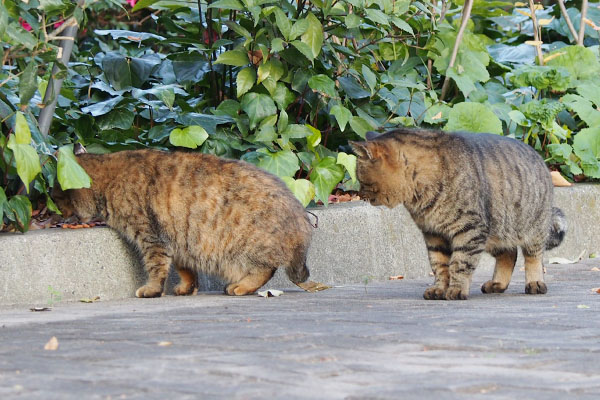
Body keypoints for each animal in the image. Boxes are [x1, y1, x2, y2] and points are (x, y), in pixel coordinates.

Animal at [51, 150, 312, 296]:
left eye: (56, 198)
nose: (52, 214)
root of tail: (301, 214)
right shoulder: (178, 240)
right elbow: (184, 269)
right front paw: (187, 287)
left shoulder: (152, 237)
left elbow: (156, 267)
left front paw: (153, 290)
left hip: (246, 248)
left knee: (265, 269)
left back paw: (242, 286)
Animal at [350, 128, 564, 300]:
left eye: (361, 179)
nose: (359, 194)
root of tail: (541, 159)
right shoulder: (433, 233)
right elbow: (439, 265)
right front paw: (439, 289)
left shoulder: (470, 230)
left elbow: (460, 263)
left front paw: (456, 289)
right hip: (496, 233)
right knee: (509, 254)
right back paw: (497, 284)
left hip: (531, 228)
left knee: (533, 257)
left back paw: (535, 283)